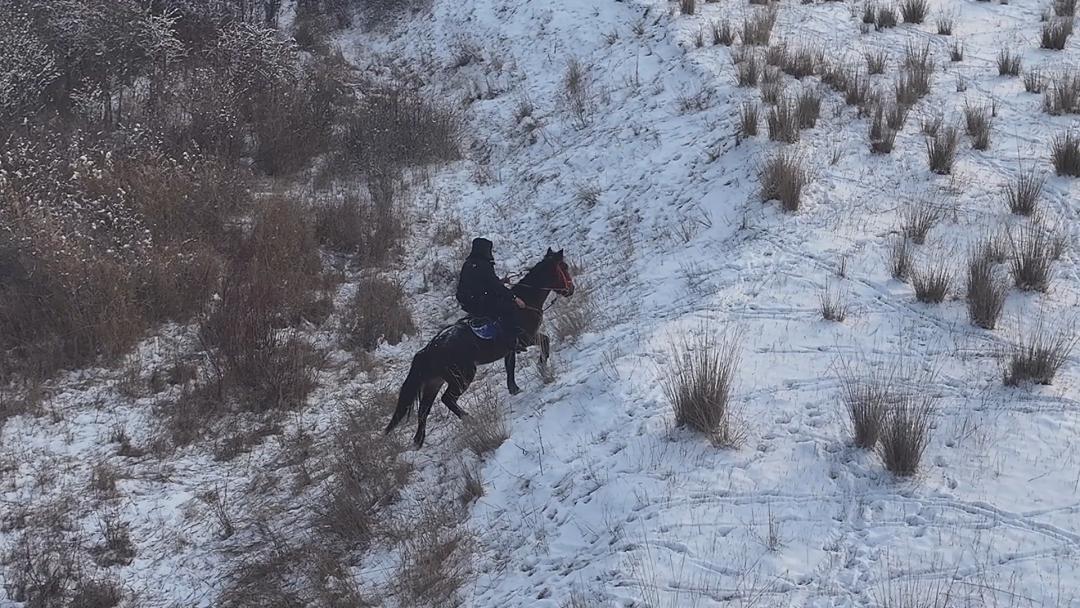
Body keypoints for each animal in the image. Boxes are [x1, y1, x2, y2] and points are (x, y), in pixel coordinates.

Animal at [386, 247, 574, 447]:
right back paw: (468, 418)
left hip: (434, 382)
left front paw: (514, 389)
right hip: (462, 376)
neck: (524, 303)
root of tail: (428, 350)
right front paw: (542, 367)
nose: (571, 289)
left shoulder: (510, 349)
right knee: (447, 399)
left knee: (424, 409)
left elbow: (510, 366)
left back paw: (418, 440)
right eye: (564, 267)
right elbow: (545, 342)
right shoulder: (527, 338)